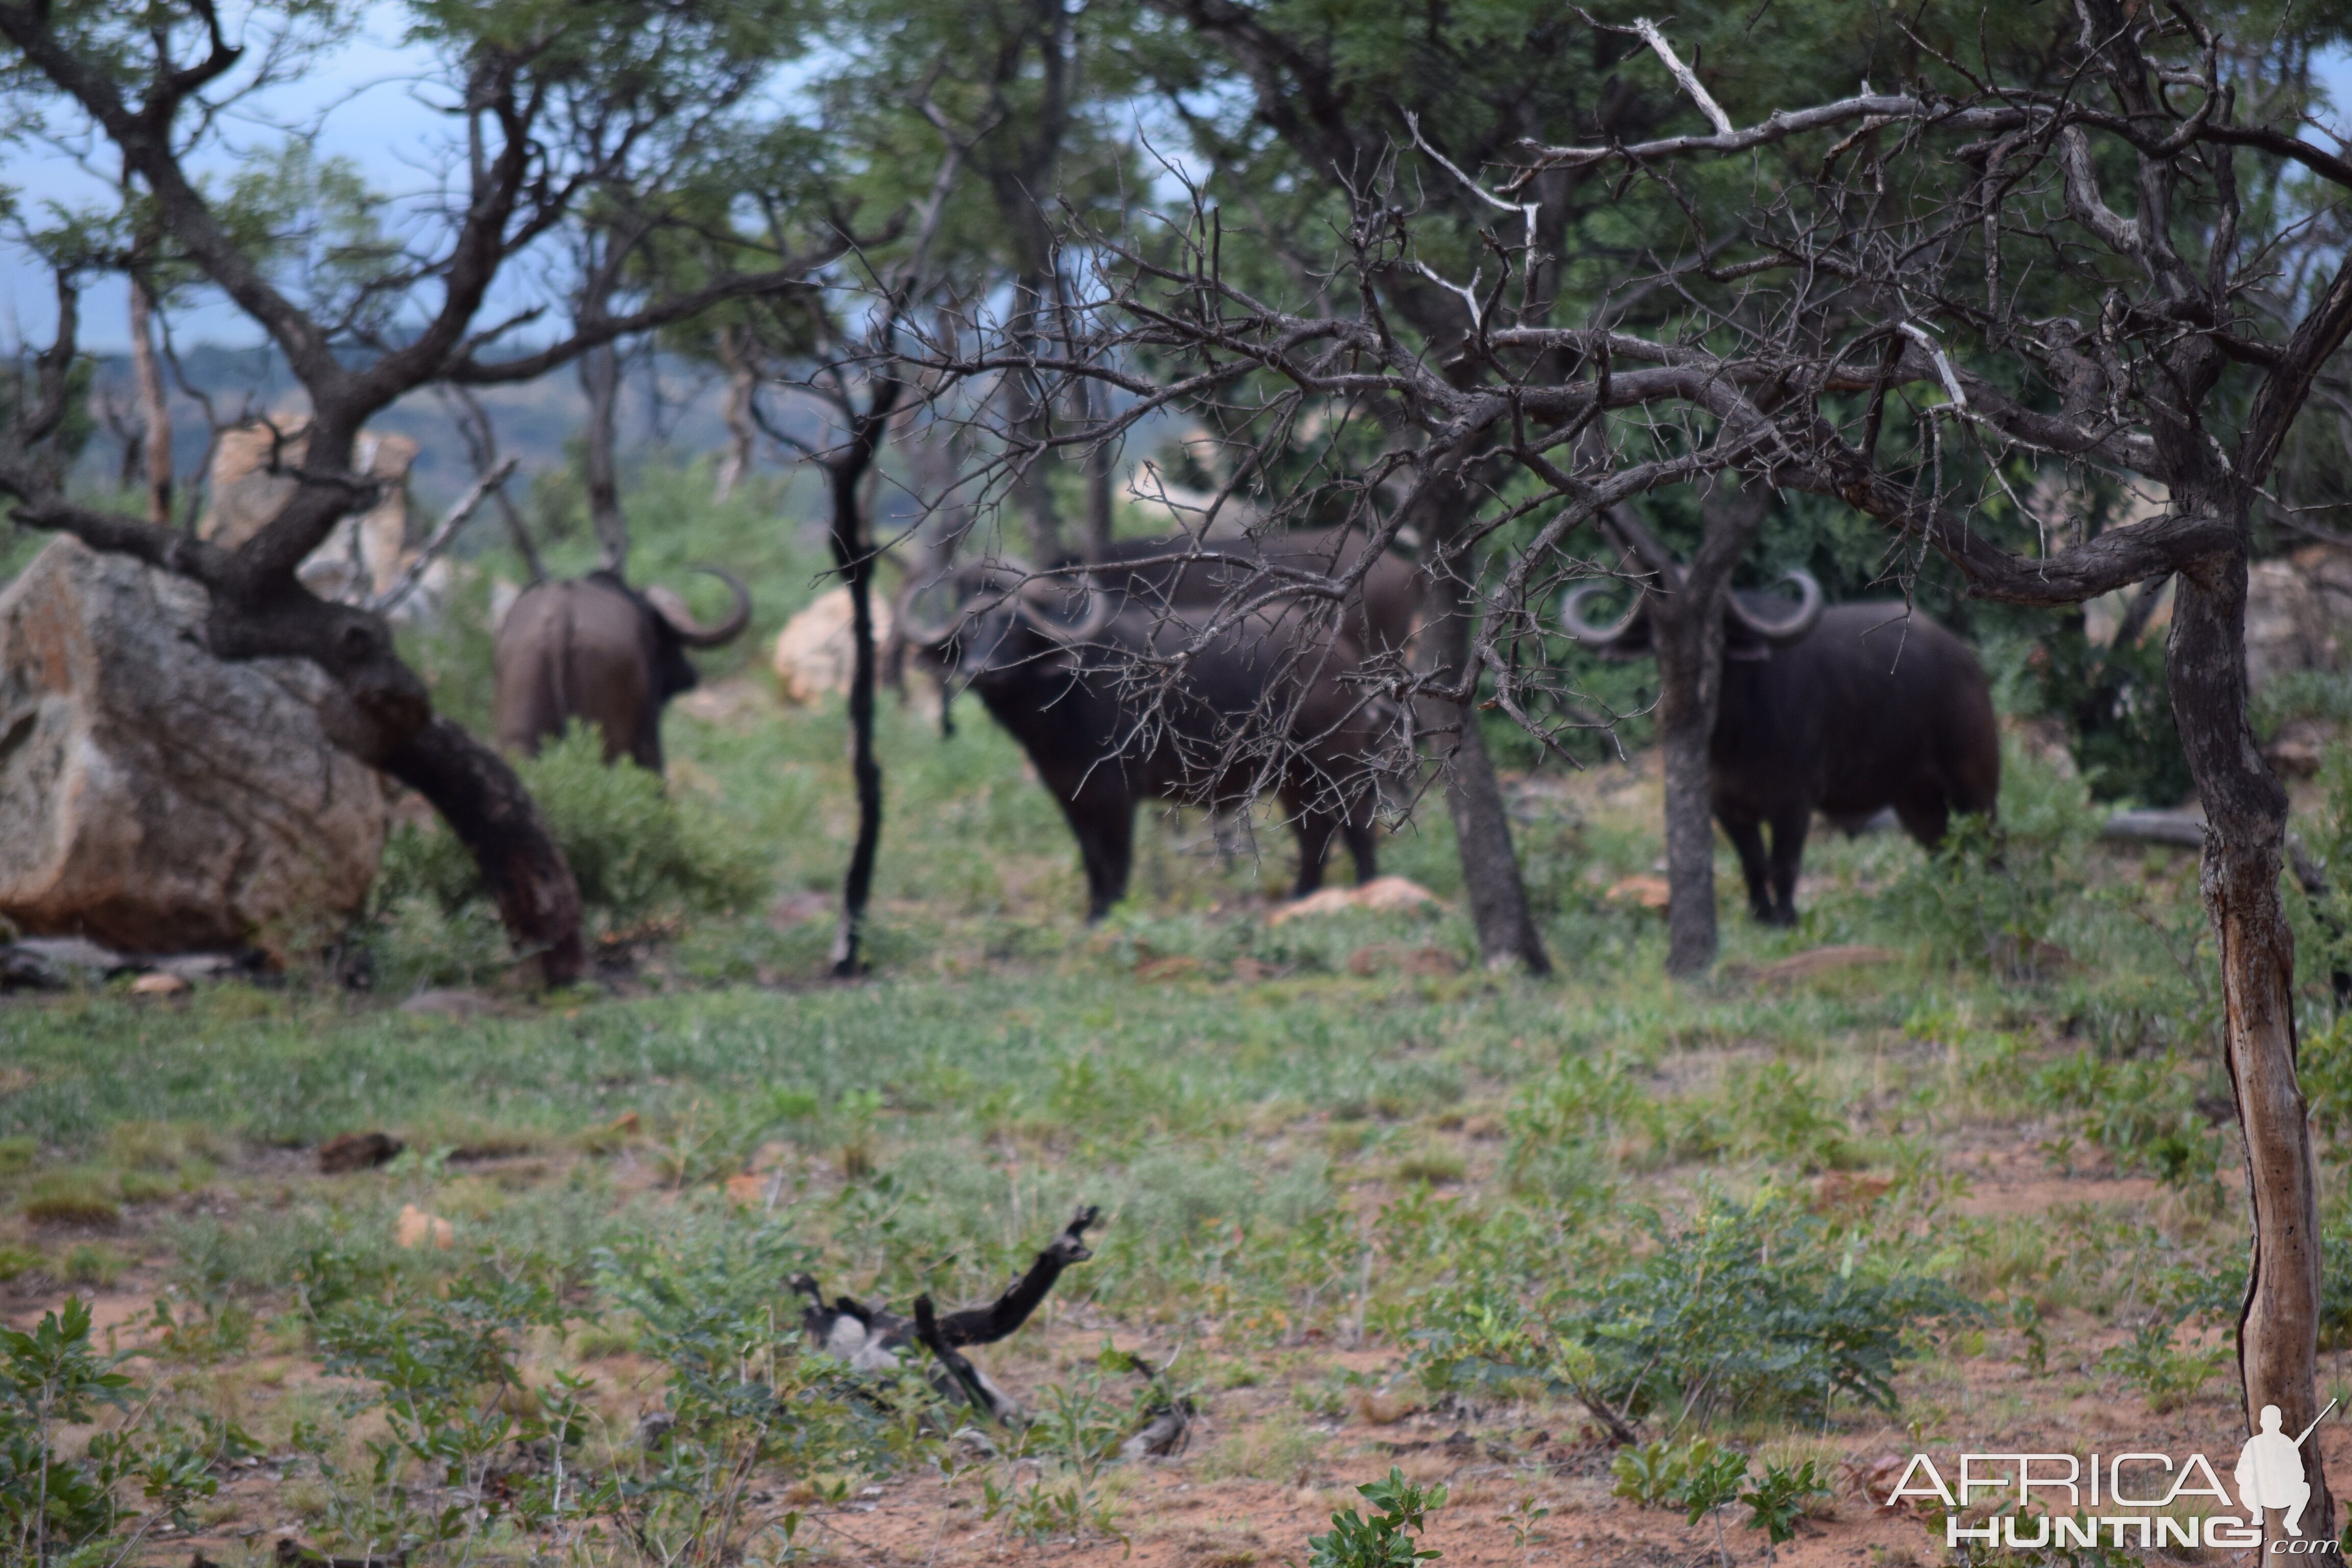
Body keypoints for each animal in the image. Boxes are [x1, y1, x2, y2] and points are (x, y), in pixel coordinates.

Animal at [492, 573, 748, 775]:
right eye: (666, 640)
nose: (689, 675)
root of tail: (562, 615)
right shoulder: (648, 734)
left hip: (521, 738)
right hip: (610, 739)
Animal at [898, 561, 1392, 921]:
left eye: (1017, 630)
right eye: (967, 635)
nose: (981, 671)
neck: (1063, 702)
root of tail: (1344, 658)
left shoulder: (1117, 794)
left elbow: (1116, 859)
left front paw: (1109, 914)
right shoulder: (1068, 795)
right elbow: (1092, 858)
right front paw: (1093, 914)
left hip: (1339, 762)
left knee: (1356, 826)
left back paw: (1367, 892)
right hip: (1294, 778)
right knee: (1315, 834)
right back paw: (1301, 897)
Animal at [1571, 573, 1994, 921]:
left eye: (1718, 630)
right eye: (1656, 636)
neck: (1733, 735)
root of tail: (1966, 659)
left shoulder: (1795, 802)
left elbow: (1784, 864)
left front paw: (1786, 916)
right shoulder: (1723, 805)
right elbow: (1754, 864)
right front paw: (1761, 915)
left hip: (1974, 778)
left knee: (1991, 840)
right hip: (1913, 796)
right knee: (1943, 846)